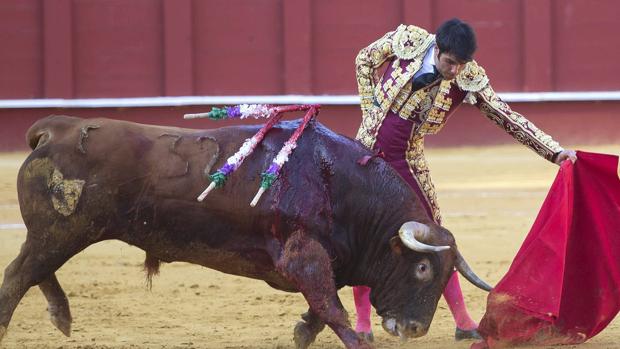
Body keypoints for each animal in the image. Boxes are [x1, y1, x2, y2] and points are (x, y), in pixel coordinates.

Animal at [1, 115, 490, 348]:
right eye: (423, 267)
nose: (414, 329)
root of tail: (56, 129)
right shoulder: (303, 255)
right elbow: (332, 306)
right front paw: (352, 342)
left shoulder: (323, 260)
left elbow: (323, 304)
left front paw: (302, 333)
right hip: (62, 231)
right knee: (17, 275)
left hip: (59, 234)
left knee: (33, 270)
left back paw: (61, 316)